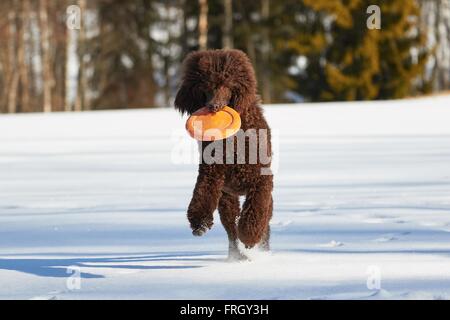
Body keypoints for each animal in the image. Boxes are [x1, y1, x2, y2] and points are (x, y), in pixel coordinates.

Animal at [174, 50, 272, 260]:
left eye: (227, 85)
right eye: (206, 86)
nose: (214, 106)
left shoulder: (261, 181)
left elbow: (255, 212)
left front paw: (249, 236)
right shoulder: (211, 173)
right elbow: (202, 193)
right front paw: (199, 223)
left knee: (264, 220)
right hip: (227, 199)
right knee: (231, 230)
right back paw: (237, 255)